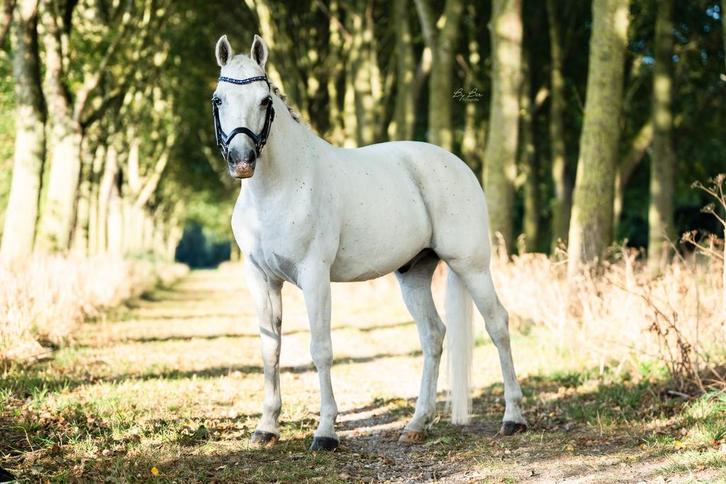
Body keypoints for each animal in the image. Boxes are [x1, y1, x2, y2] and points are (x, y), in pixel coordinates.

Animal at [212, 34, 528, 451]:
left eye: (265, 101)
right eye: (218, 99)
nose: (242, 160)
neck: (281, 187)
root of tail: (457, 165)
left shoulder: (314, 276)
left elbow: (321, 349)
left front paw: (326, 433)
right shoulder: (261, 279)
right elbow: (270, 348)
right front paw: (266, 428)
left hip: (471, 266)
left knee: (498, 325)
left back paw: (513, 418)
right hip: (414, 274)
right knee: (433, 335)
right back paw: (417, 424)